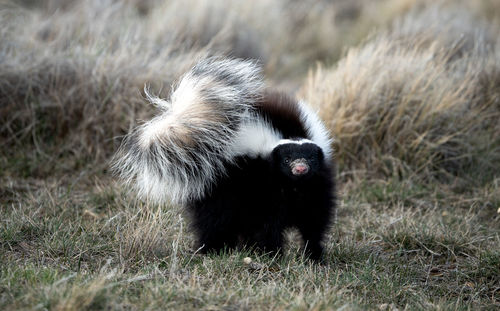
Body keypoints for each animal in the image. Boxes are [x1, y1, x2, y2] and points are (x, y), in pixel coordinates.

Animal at [114, 58, 336, 260]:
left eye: (310, 158)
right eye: (287, 160)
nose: (300, 168)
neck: (293, 185)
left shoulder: (315, 185)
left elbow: (314, 219)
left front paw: (314, 255)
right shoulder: (266, 186)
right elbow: (268, 223)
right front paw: (272, 254)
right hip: (217, 181)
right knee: (214, 220)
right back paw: (212, 249)